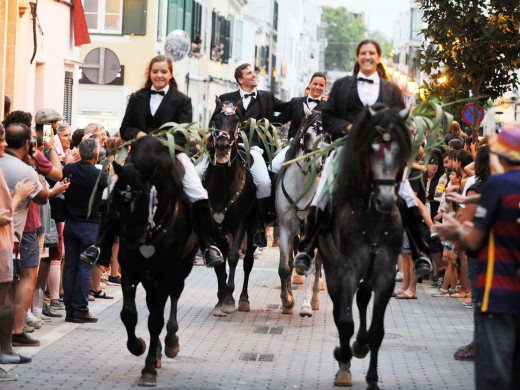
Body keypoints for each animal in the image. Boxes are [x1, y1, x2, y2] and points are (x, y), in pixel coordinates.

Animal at [110, 136, 198, 386]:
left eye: (143, 199)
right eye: (117, 198)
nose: (131, 241)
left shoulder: (165, 274)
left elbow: (156, 320)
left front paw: (148, 368)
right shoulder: (129, 270)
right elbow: (129, 314)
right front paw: (137, 346)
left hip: (181, 270)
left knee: (174, 298)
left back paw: (170, 343)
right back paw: (158, 349)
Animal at [274, 107, 328, 316]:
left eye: (327, 136)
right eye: (306, 135)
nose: (316, 165)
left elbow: (310, 269)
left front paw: (305, 305)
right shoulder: (285, 229)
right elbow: (284, 266)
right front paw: (286, 301)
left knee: (318, 265)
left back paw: (314, 299)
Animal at [316, 104, 414, 390]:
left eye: (401, 150)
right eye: (371, 149)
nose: (386, 200)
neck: (372, 218)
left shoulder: (385, 275)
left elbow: (377, 330)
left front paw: (372, 379)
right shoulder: (347, 270)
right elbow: (344, 321)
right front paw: (343, 363)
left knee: (361, 300)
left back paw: (360, 346)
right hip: (332, 269)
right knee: (340, 309)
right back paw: (347, 353)